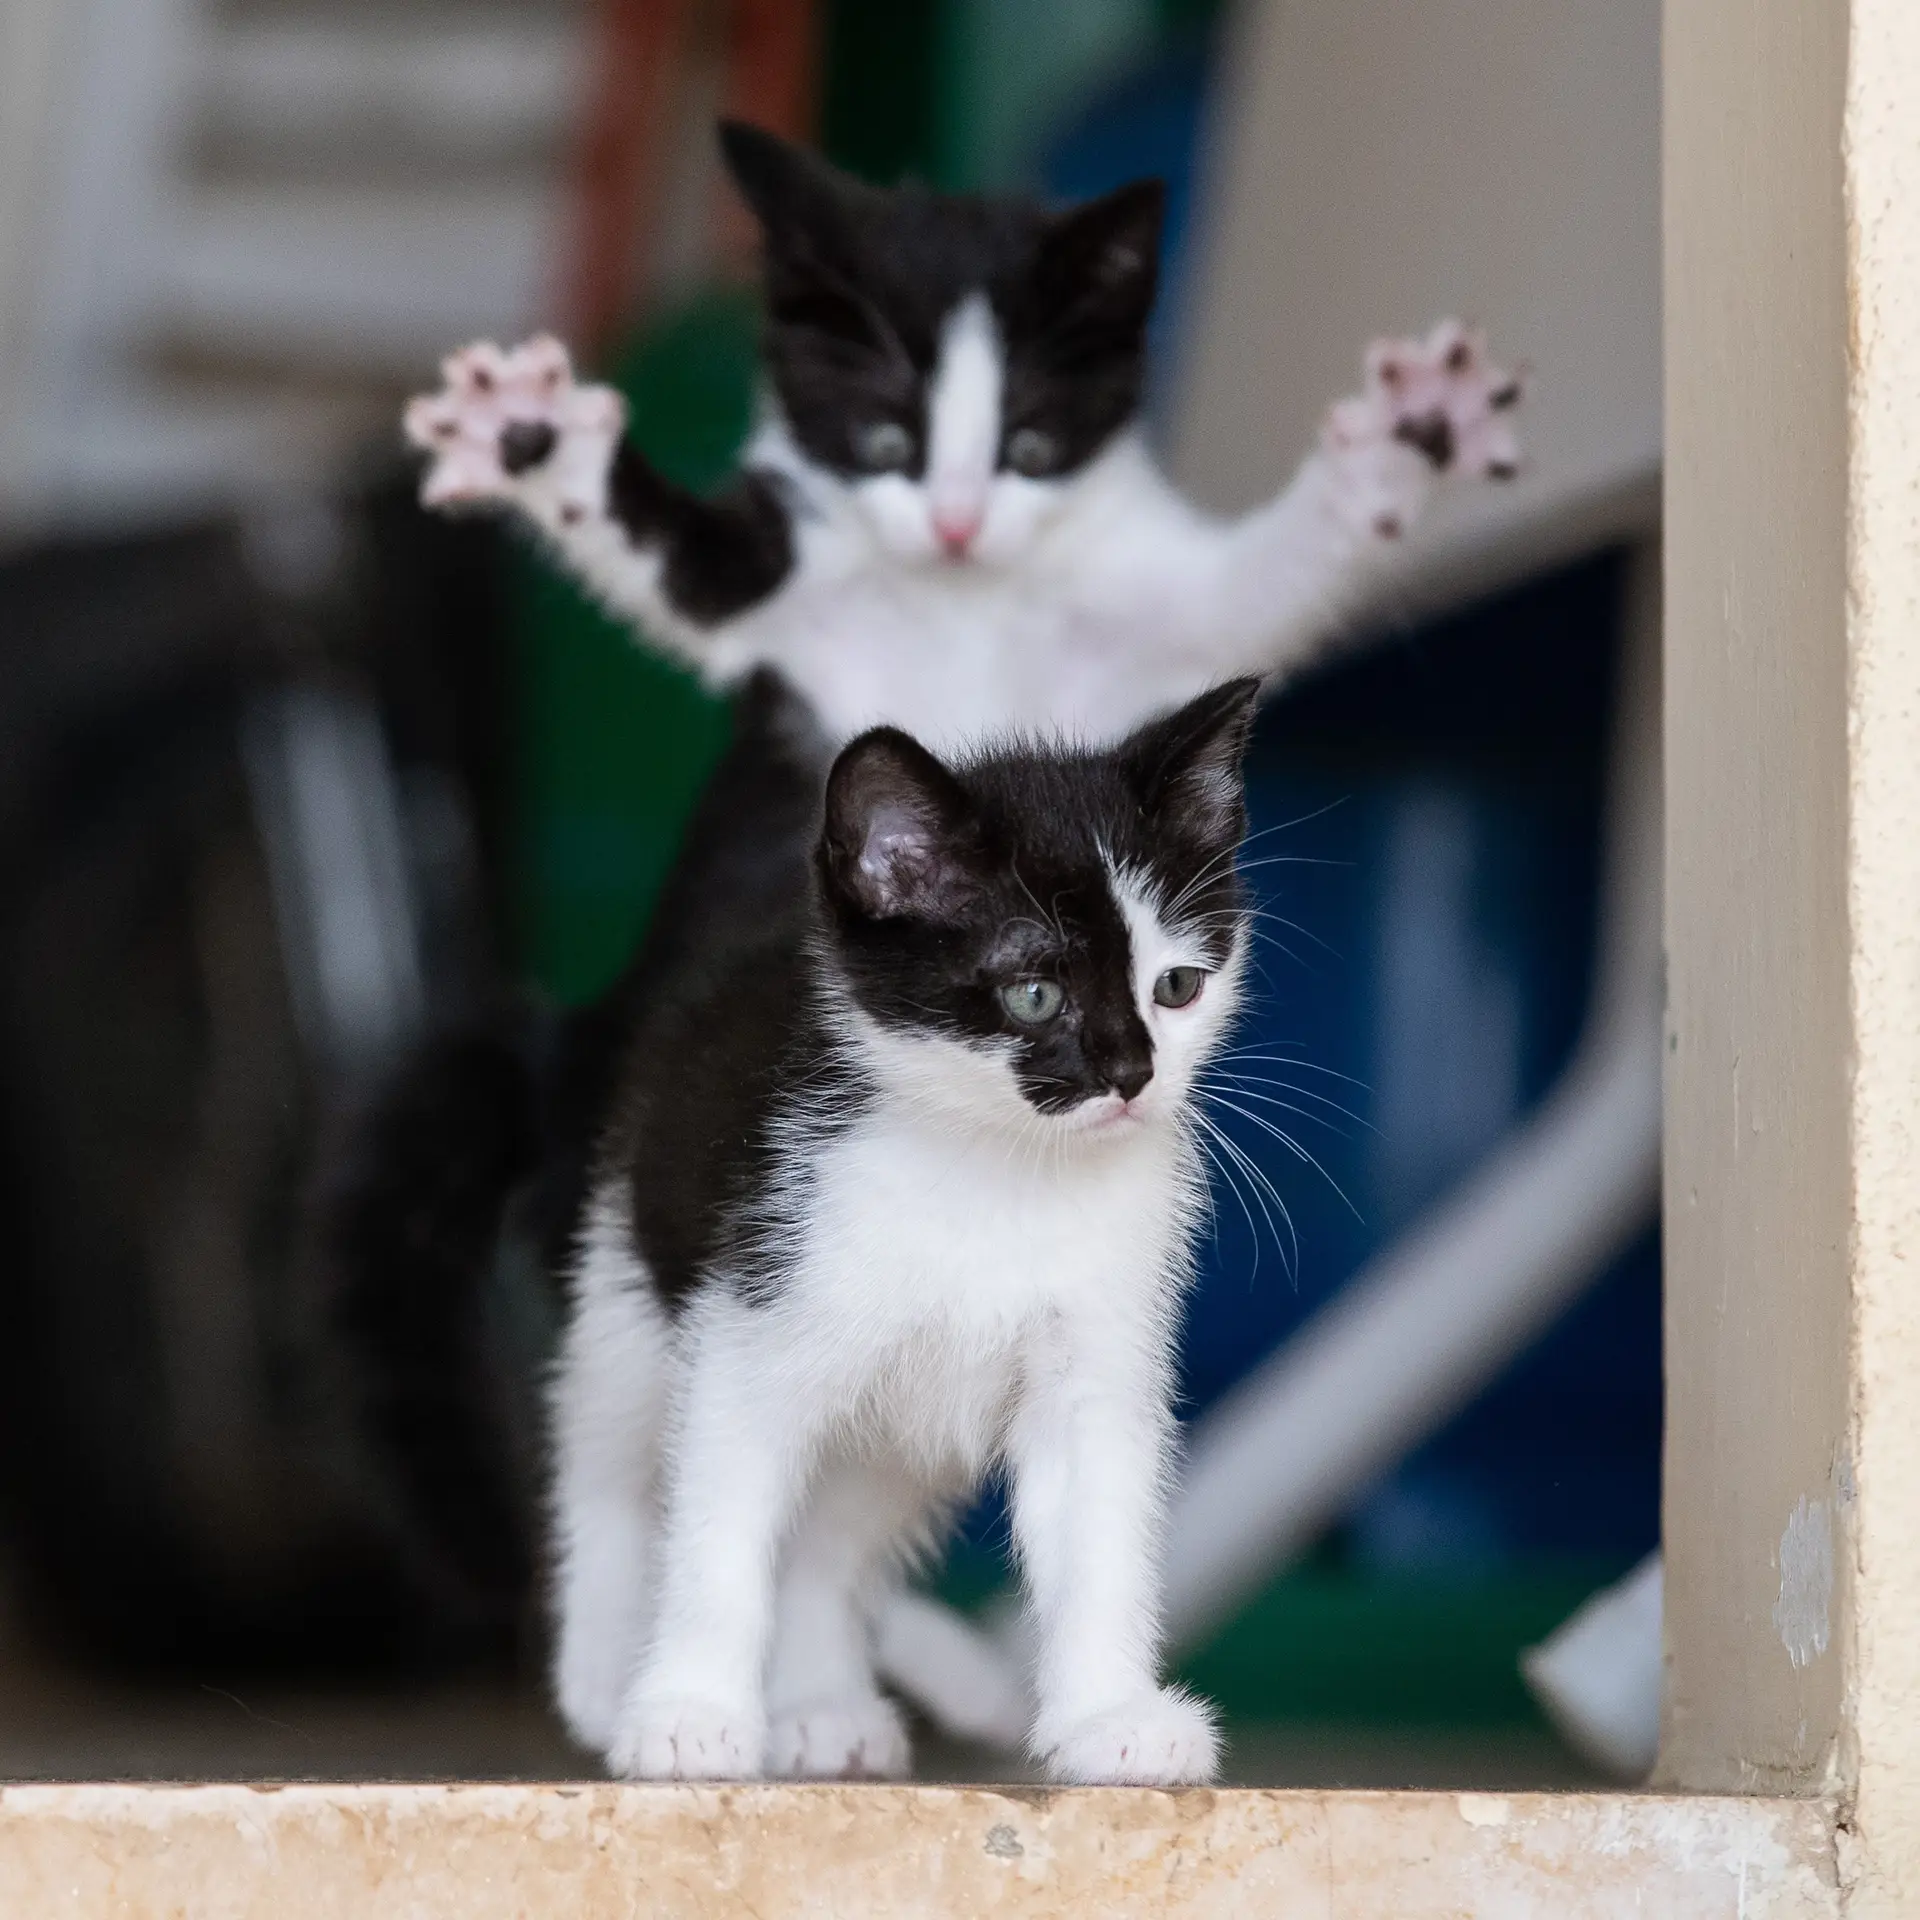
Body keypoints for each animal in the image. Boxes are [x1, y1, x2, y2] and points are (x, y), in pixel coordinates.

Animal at [549, 679, 1267, 1781]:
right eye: (1033, 994)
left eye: (1178, 986)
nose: (1132, 1075)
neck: (995, 1169)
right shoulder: (754, 1319)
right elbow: (718, 1528)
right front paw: (689, 1712)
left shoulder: (1096, 1362)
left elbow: (1098, 1535)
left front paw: (1109, 1717)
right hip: (627, 1275)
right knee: (609, 1463)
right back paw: (599, 1673)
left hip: (891, 1438)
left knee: (824, 1542)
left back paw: (820, 1705)